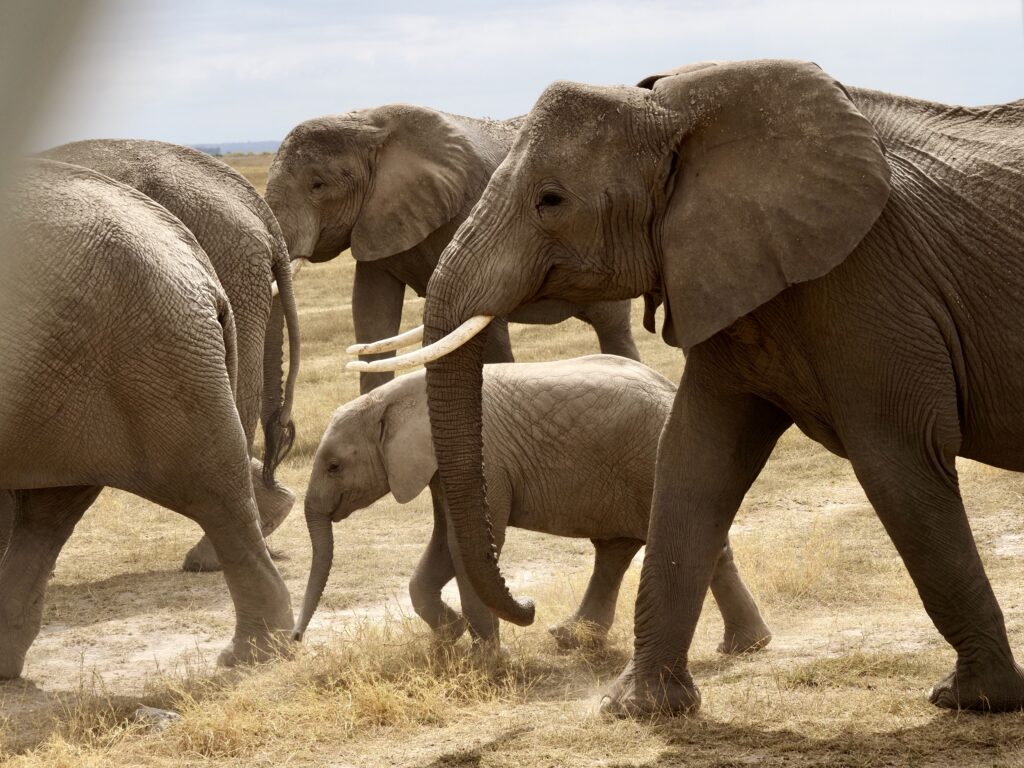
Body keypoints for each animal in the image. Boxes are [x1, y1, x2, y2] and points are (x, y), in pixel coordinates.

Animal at [260, 105, 634, 393]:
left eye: (318, 185)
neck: (369, 124)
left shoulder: (471, 206)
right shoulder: (376, 221)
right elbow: (371, 313)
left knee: (612, 326)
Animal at [358, 63, 1024, 720]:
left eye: (551, 200)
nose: (529, 609)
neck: (679, 112)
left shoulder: (871, 281)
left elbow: (900, 466)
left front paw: (970, 699)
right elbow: (693, 459)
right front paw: (638, 707)